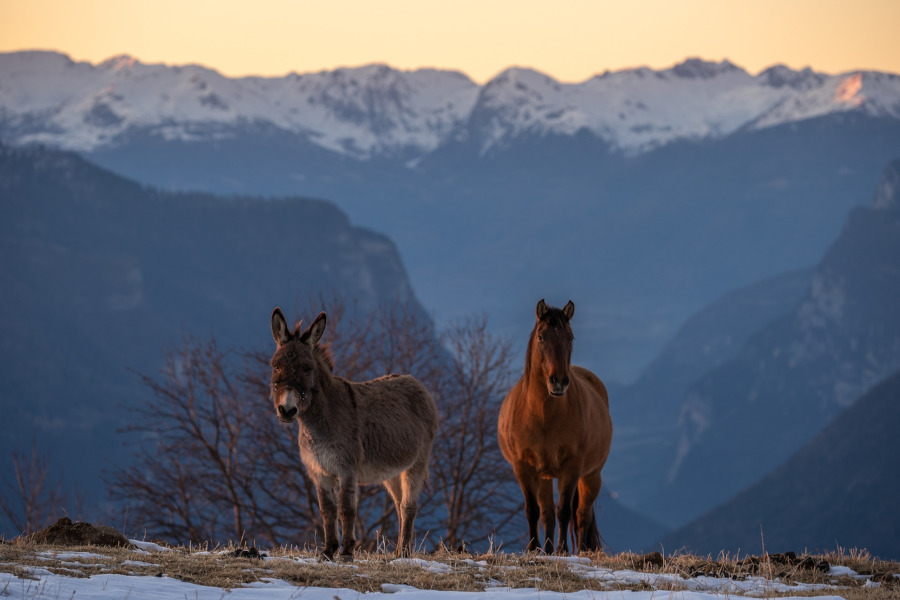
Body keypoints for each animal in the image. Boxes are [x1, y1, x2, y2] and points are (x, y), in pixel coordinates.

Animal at [268, 308, 438, 560]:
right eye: (276, 366)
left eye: (307, 368)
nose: (287, 410)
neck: (319, 423)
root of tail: (415, 382)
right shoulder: (319, 472)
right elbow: (327, 511)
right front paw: (328, 551)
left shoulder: (347, 469)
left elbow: (346, 509)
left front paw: (347, 551)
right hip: (392, 472)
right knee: (399, 505)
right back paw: (398, 551)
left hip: (416, 463)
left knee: (409, 506)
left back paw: (405, 554)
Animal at [496, 298, 616, 556]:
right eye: (542, 336)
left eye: (570, 337)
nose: (558, 381)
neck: (543, 417)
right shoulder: (524, 467)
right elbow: (534, 510)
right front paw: (534, 548)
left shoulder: (572, 467)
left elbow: (564, 510)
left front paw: (562, 549)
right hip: (544, 476)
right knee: (548, 512)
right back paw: (548, 549)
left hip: (591, 475)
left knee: (582, 514)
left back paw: (580, 550)